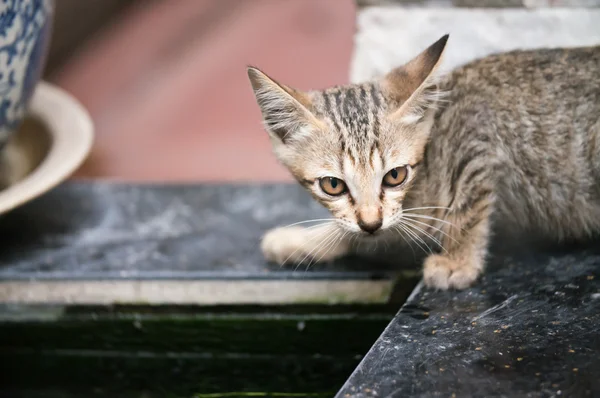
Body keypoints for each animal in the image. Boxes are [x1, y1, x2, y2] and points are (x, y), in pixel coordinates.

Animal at [247, 35, 600, 290]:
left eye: (395, 176)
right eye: (332, 185)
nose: (370, 222)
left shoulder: (477, 134)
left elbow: (466, 209)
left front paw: (458, 261)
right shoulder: (388, 219)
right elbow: (356, 229)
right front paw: (300, 240)